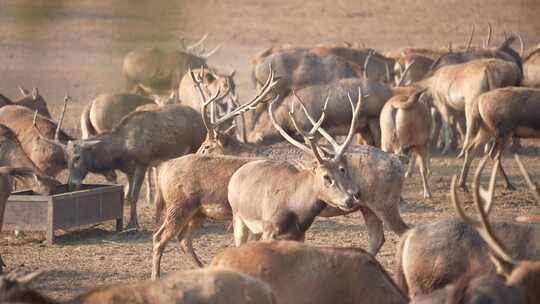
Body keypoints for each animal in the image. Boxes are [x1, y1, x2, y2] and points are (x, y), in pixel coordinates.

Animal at [226, 85, 360, 245]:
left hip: (254, 230)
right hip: (238, 218)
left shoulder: (299, 235)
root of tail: (235, 175)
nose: (350, 199)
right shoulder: (268, 230)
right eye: (326, 176)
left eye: (343, 169)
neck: (294, 207)